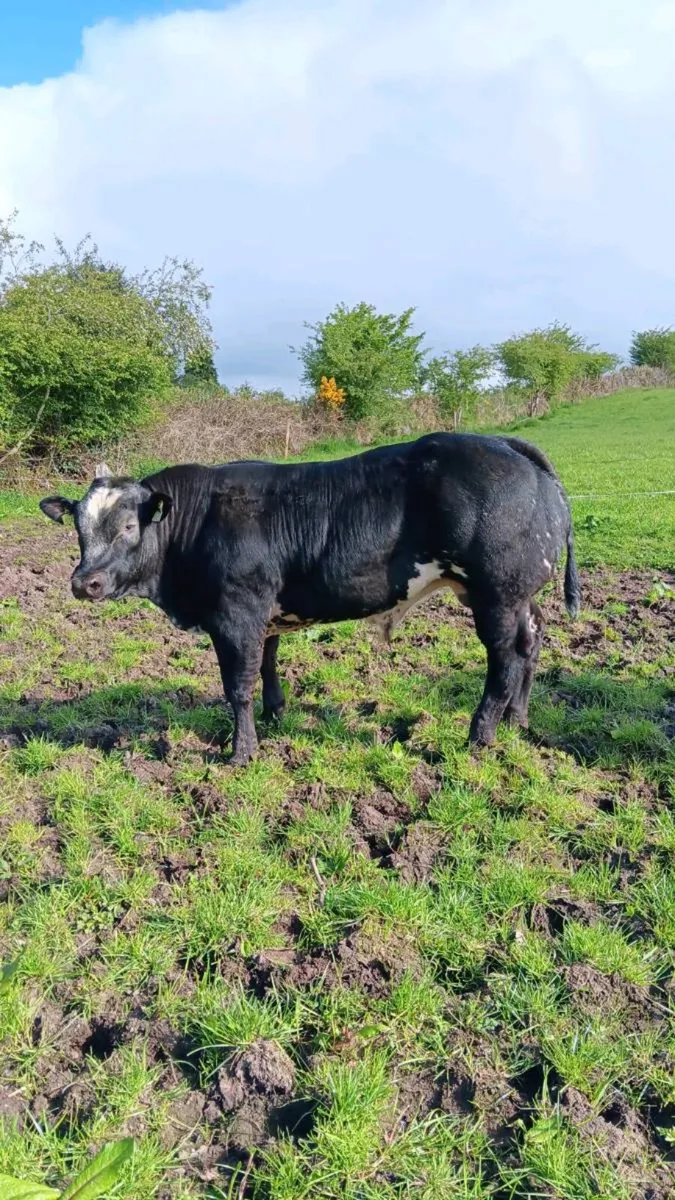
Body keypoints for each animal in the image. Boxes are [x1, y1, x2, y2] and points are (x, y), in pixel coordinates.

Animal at [39, 433, 580, 765]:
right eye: (79, 527)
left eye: (129, 527)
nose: (84, 582)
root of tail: (502, 442)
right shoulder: (267, 616)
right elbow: (268, 668)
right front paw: (276, 717)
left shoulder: (236, 616)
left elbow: (238, 687)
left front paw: (241, 752)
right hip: (517, 597)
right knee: (531, 642)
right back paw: (517, 720)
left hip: (497, 595)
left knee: (505, 660)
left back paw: (481, 735)